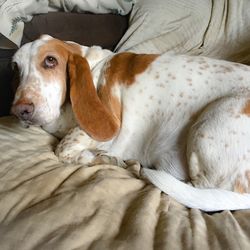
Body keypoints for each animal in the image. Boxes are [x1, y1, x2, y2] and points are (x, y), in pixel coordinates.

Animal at [11, 34, 250, 211]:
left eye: (50, 60)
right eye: (15, 68)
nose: (20, 110)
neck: (92, 64)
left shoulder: (108, 125)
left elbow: (64, 149)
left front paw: (101, 157)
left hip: (215, 116)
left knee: (198, 189)